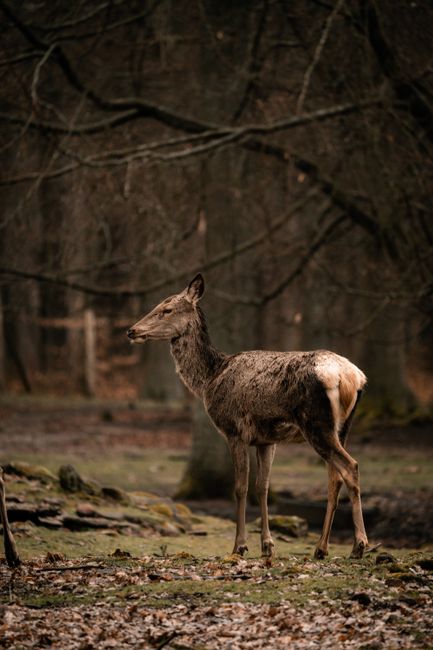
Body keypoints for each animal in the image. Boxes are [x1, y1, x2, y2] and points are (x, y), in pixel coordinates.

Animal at [127, 274, 370, 560]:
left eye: (167, 309)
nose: (132, 330)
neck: (210, 378)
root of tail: (351, 377)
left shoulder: (235, 430)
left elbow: (240, 488)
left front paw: (239, 545)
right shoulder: (267, 440)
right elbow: (261, 487)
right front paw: (267, 545)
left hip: (316, 424)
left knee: (350, 467)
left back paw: (359, 545)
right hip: (342, 426)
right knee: (335, 478)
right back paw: (321, 548)